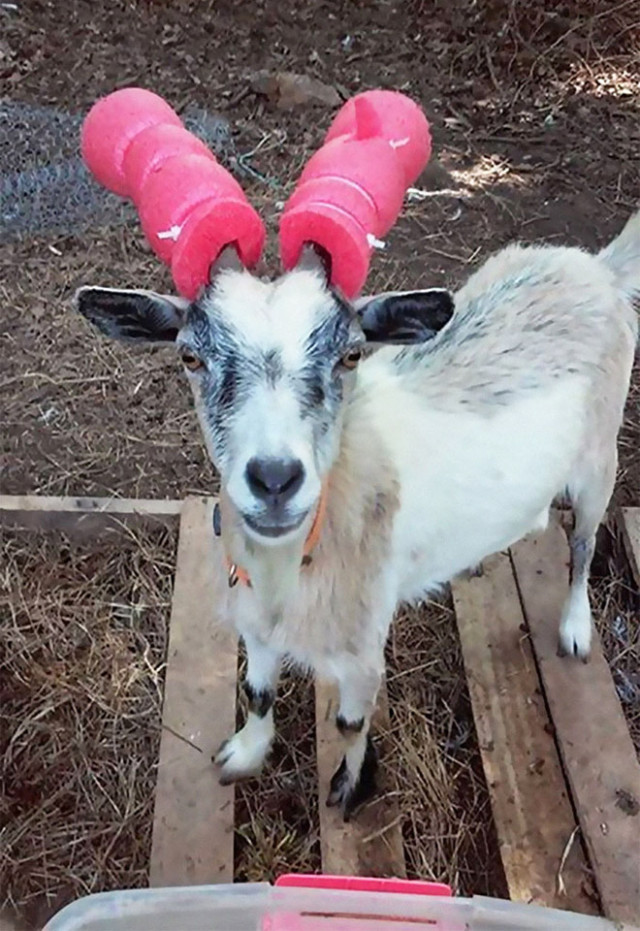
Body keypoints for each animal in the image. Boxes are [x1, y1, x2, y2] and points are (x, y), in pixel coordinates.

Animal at [76, 209, 640, 816]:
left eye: (350, 354)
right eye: (190, 356)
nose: (275, 478)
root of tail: (597, 268)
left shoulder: (363, 648)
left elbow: (349, 722)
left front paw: (348, 788)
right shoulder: (255, 624)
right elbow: (257, 691)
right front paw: (244, 755)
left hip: (599, 460)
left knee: (584, 543)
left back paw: (575, 629)